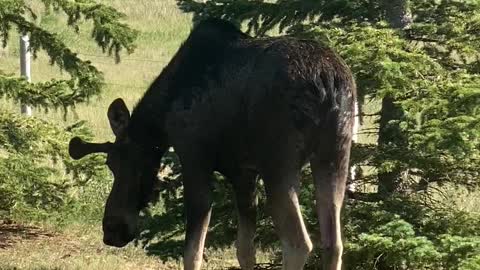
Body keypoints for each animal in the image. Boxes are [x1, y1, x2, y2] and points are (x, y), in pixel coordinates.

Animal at [70, 19, 356, 270]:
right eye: (110, 164)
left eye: (126, 163)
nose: (112, 231)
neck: (164, 114)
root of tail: (328, 82)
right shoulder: (243, 174)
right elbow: (244, 251)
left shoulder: (194, 157)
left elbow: (192, 253)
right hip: (335, 154)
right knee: (334, 244)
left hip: (279, 163)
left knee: (298, 243)